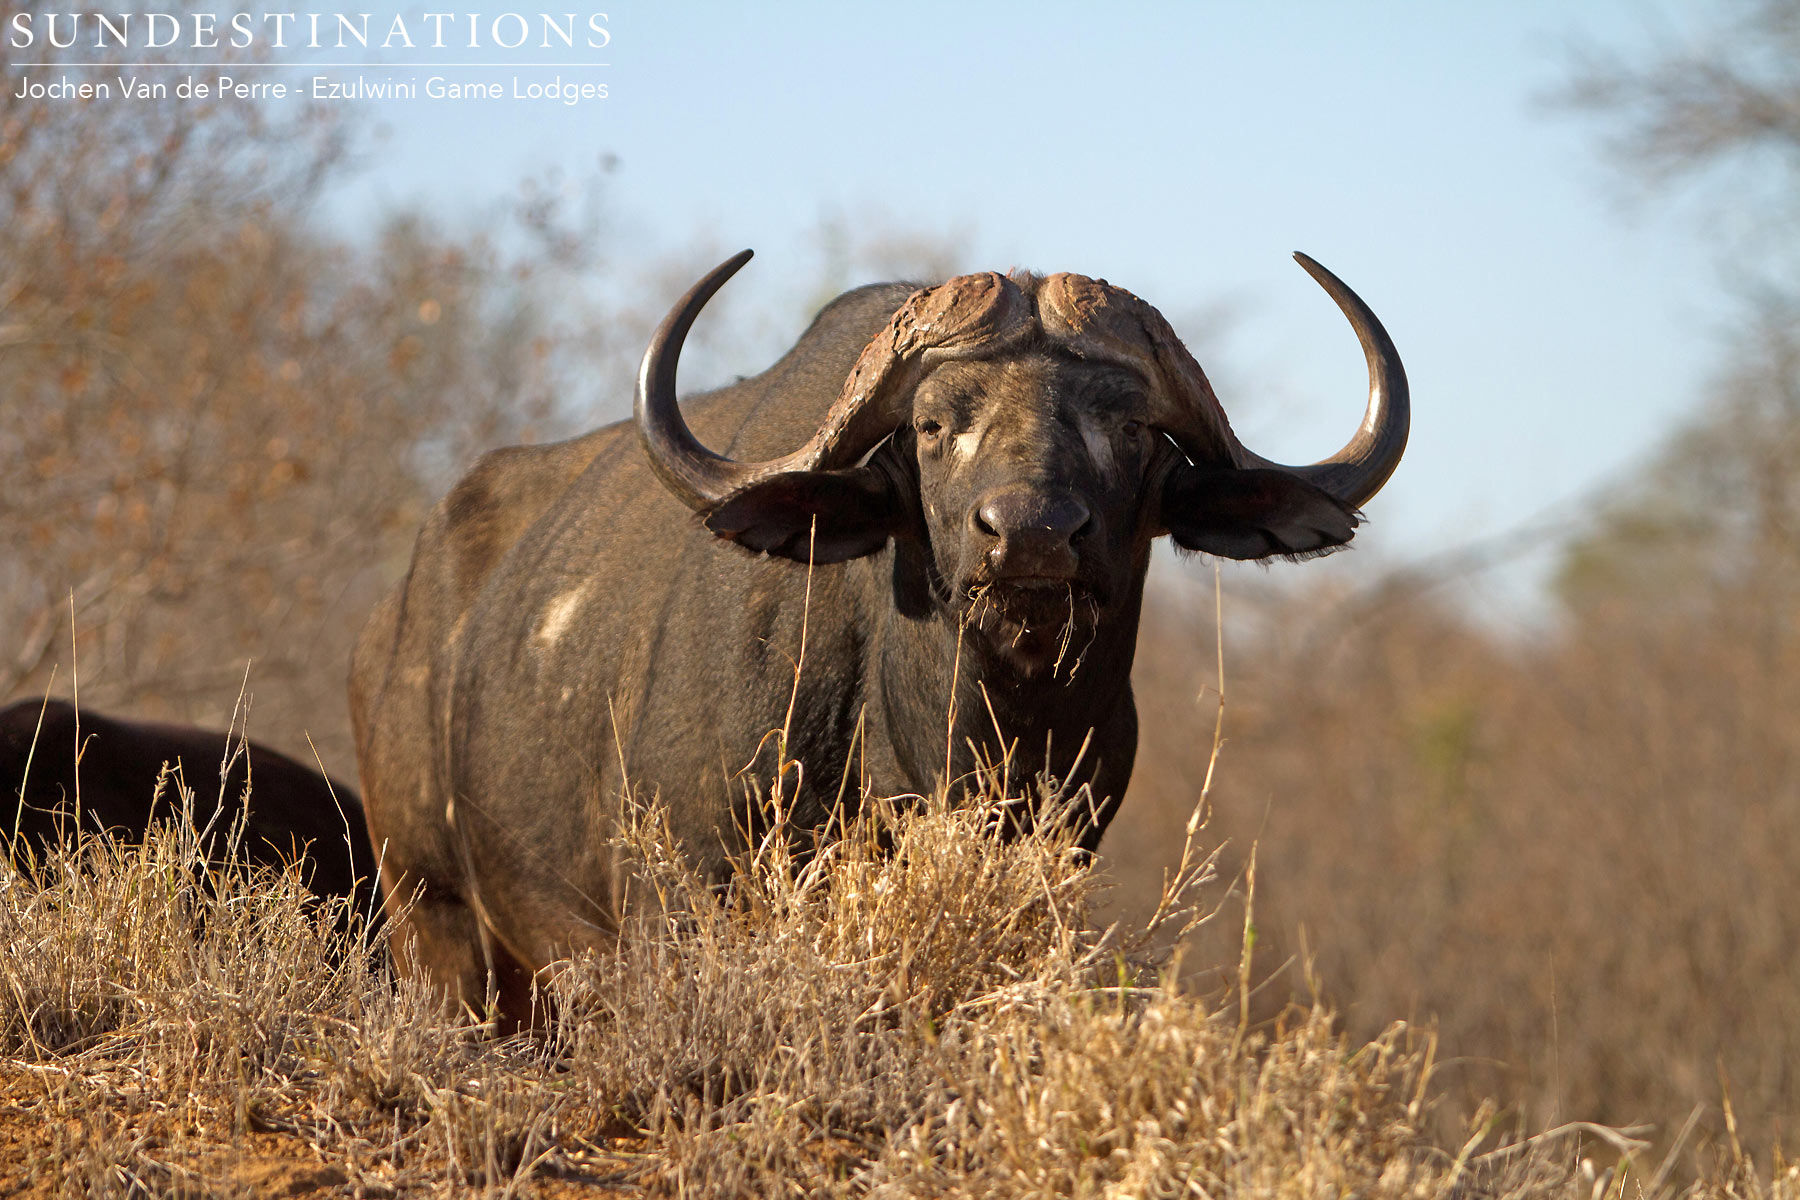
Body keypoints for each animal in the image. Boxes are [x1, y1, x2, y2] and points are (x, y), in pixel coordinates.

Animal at [350, 251, 1408, 1022]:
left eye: (1134, 429)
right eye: (933, 426)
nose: (1030, 533)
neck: (945, 743)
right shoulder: (674, 905)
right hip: (430, 911)